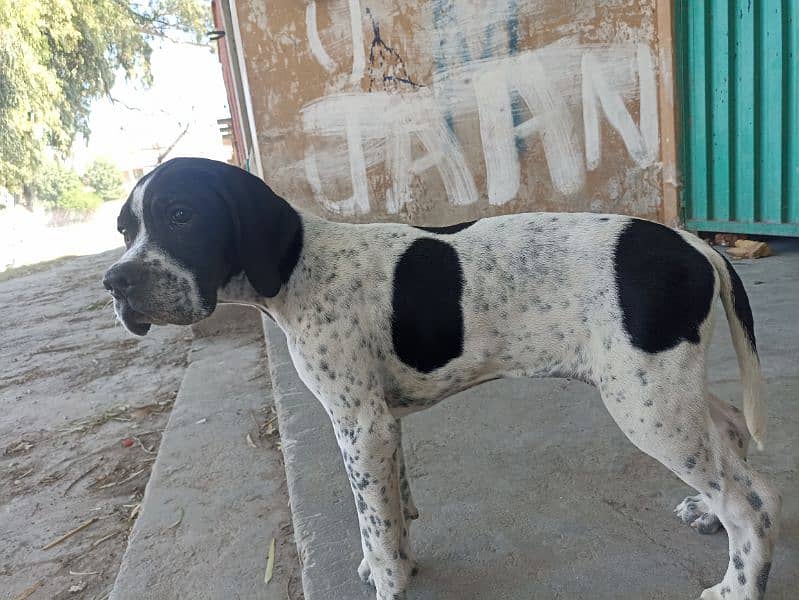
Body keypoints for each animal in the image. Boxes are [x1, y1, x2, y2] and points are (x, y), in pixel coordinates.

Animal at [104, 158, 780, 600]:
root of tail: (696, 244)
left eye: (181, 215)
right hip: (663, 384)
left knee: (752, 503)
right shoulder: (381, 425)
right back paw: (709, 514)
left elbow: (375, 523)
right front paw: (391, 560)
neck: (299, 270)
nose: (115, 284)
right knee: (731, 439)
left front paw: (388, 580)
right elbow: (391, 511)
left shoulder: (361, 424)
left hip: (647, 403)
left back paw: (736, 584)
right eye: (124, 231)